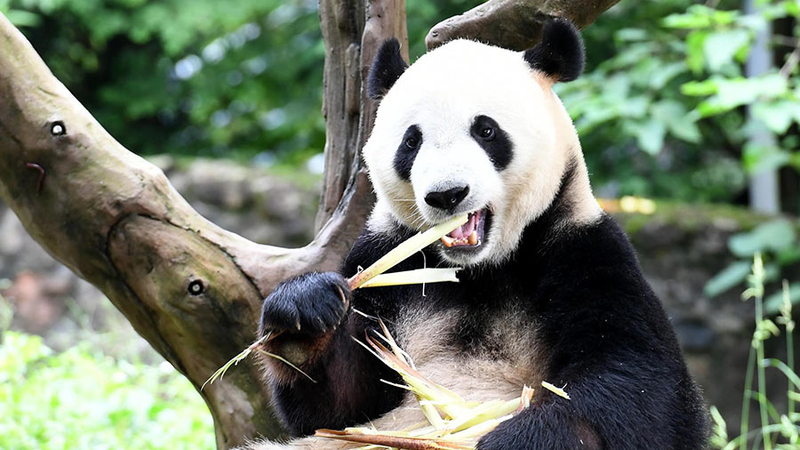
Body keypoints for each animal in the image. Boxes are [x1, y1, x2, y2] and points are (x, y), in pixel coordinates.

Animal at [245, 18, 709, 450]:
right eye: (411, 142)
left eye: (486, 130)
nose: (447, 194)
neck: (479, 269)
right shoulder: (387, 257)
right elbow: (338, 407)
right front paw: (303, 312)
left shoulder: (582, 249)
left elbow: (639, 384)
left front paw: (522, 438)